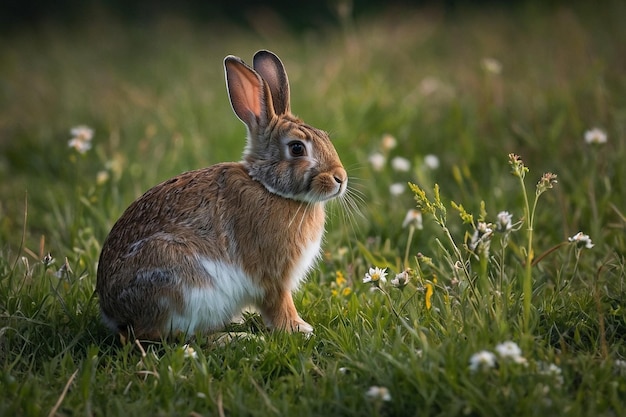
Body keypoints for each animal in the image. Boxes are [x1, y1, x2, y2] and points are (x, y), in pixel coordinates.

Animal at [95, 50, 346, 340]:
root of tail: (113, 312)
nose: (341, 178)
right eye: (296, 148)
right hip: (183, 287)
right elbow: (279, 304)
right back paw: (234, 338)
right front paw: (299, 328)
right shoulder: (273, 277)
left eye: (325, 136)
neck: (267, 187)